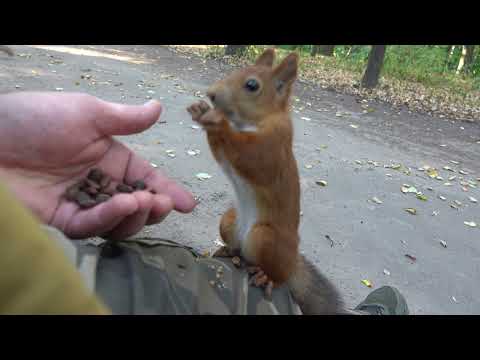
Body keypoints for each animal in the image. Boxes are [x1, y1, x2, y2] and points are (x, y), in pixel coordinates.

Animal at [186, 48, 344, 316]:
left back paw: (266, 277)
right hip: (229, 220)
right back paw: (228, 251)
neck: (250, 122)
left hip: (265, 238)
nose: (212, 93)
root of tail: (292, 263)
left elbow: (250, 156)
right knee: (239, 250)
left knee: (276, 273)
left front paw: (217, 120)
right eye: (236, 70)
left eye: (252, 85)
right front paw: (201, 109)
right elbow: (222, 154)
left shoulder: (273, 146)